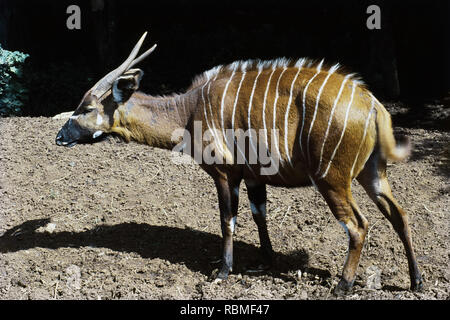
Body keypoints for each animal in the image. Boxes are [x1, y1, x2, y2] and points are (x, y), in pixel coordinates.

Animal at [55, 32, 422, 296]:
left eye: (87, 108)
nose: (59, 136)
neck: (188, 110)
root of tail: (374, 105)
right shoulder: (254, 176)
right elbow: (260, 215)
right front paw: (265, 264)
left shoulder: (225, 173)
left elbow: (227, 221)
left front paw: (222, 272)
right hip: (372, 174)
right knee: (400, 215)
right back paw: (416, 281)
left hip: (332, 178)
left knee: (358, 225)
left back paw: (342, 286)